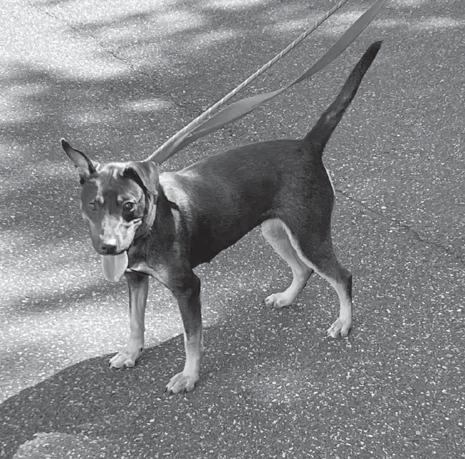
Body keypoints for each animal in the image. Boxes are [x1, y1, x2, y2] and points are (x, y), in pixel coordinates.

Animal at [62, 41, 381, 393]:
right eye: (93, 204)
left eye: (129, 205)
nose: (108, 247)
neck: (150, 226)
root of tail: (307, 145)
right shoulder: (135, 278)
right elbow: (135, 322)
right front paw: (131, 353)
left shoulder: (188, 287)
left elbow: (191, 339)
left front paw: (188, 376)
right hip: (276, 231)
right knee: (303, 269)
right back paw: (286, 298)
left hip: (309, 234)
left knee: (342, 276)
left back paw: (344, 322)